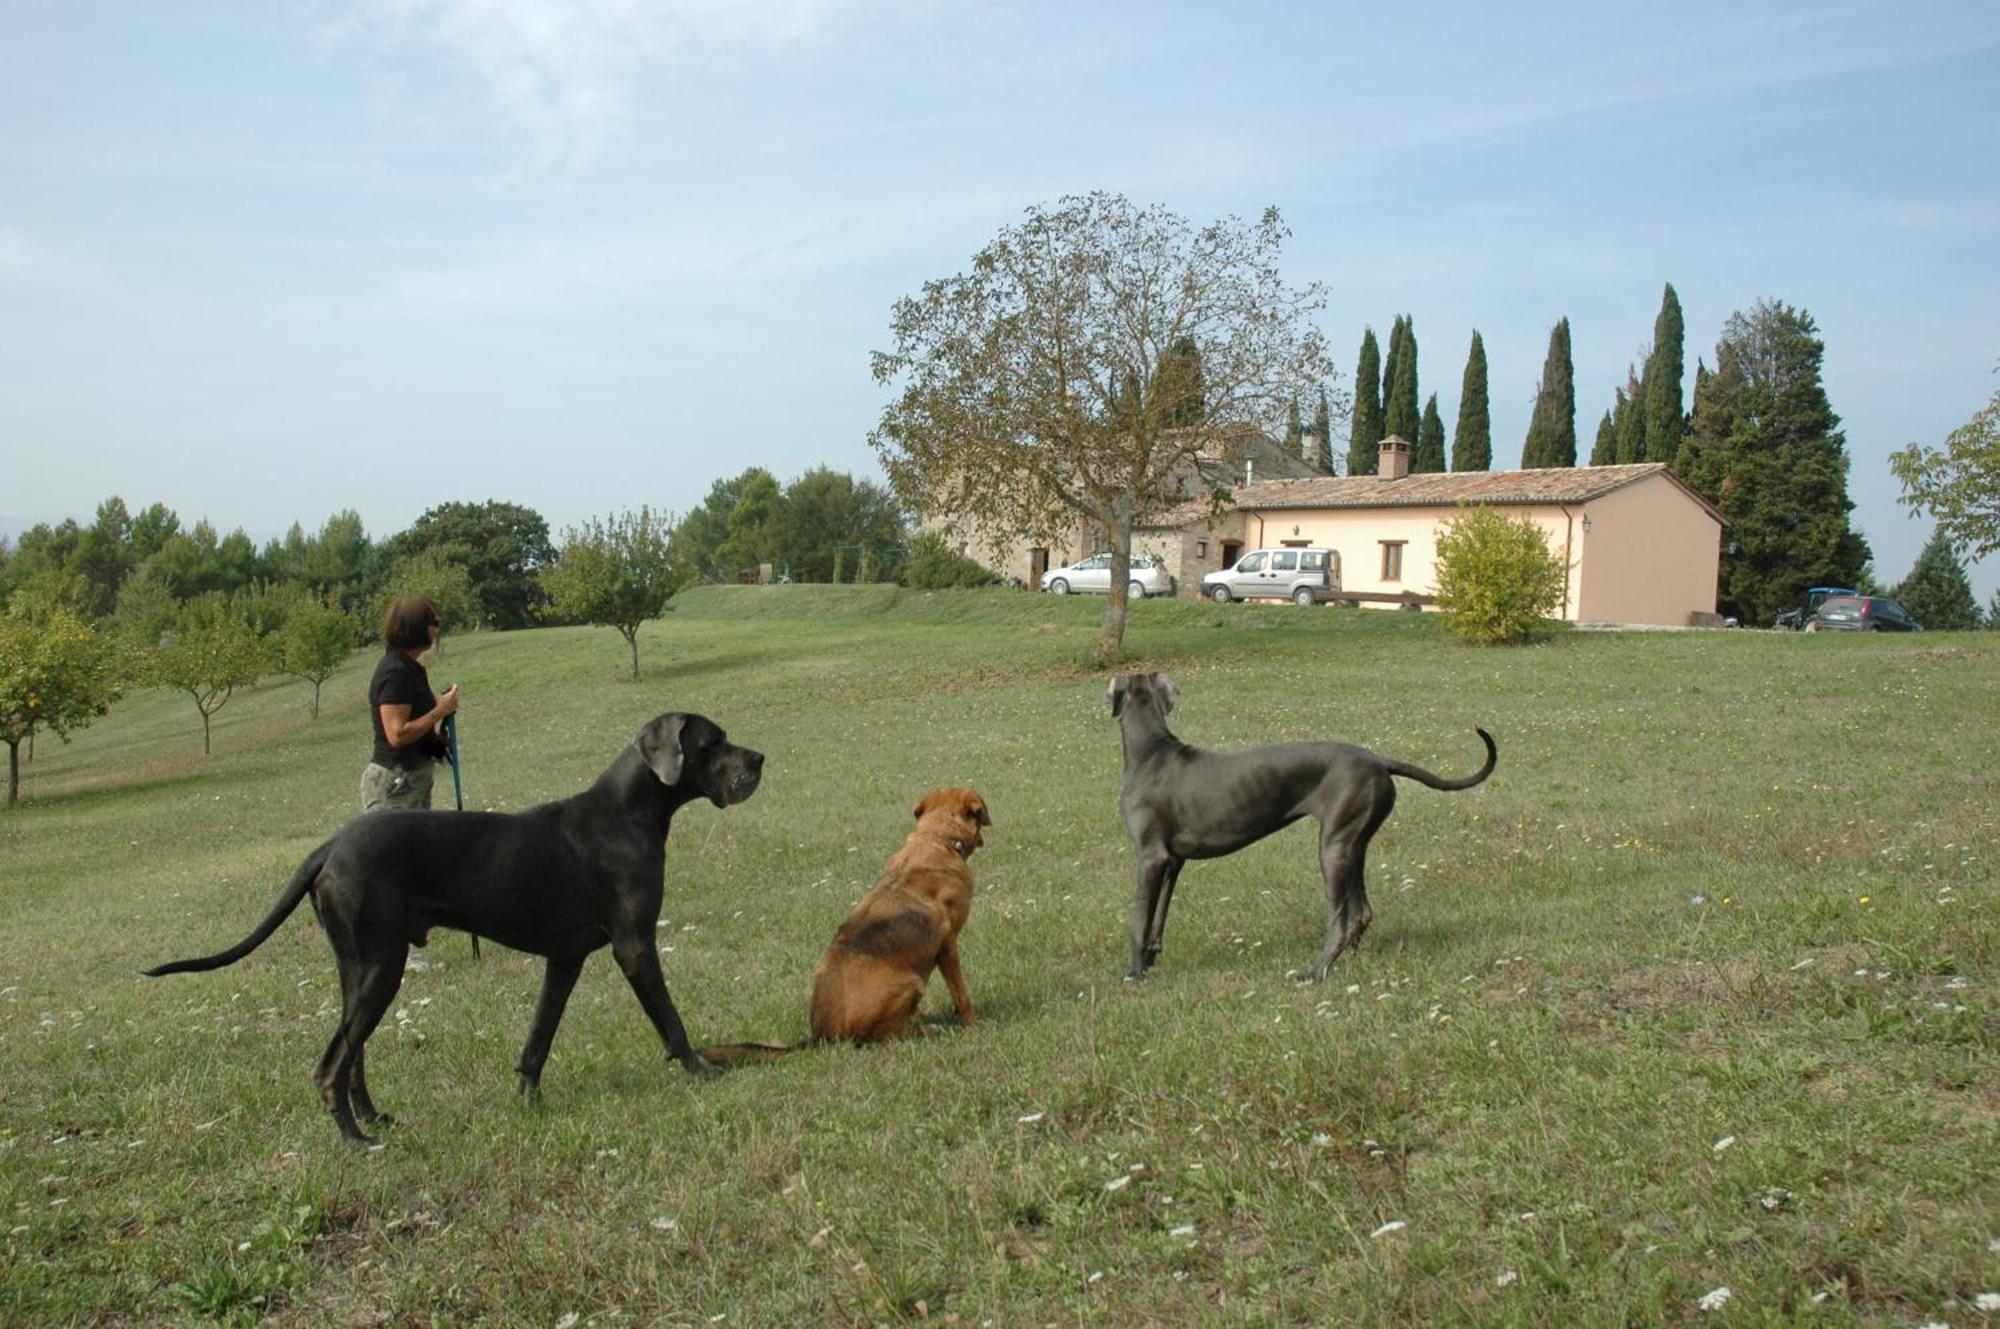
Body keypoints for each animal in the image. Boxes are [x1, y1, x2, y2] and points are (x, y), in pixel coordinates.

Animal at [808, 784, 988, 1040]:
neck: (936, 839)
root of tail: (823, 1035)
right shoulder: (948, 946)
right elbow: (961, 994)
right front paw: (972, 1024)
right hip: (912, 982)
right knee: (895, 1034)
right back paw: (929, 1029)